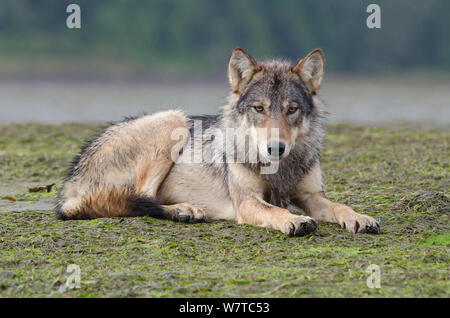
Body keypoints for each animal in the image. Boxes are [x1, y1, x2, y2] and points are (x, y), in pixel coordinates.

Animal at [55, 47, 380, 236]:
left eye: (291, 109)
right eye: (259, 108)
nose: (276, 148)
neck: (278, 172)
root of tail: (72, 176)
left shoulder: (311, 195)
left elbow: (339, 206)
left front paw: (360, 217)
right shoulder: (247, 201)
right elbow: (274, 210)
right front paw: (294, 219)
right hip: (173, 120)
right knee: (140, 199)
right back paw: (185, 211)